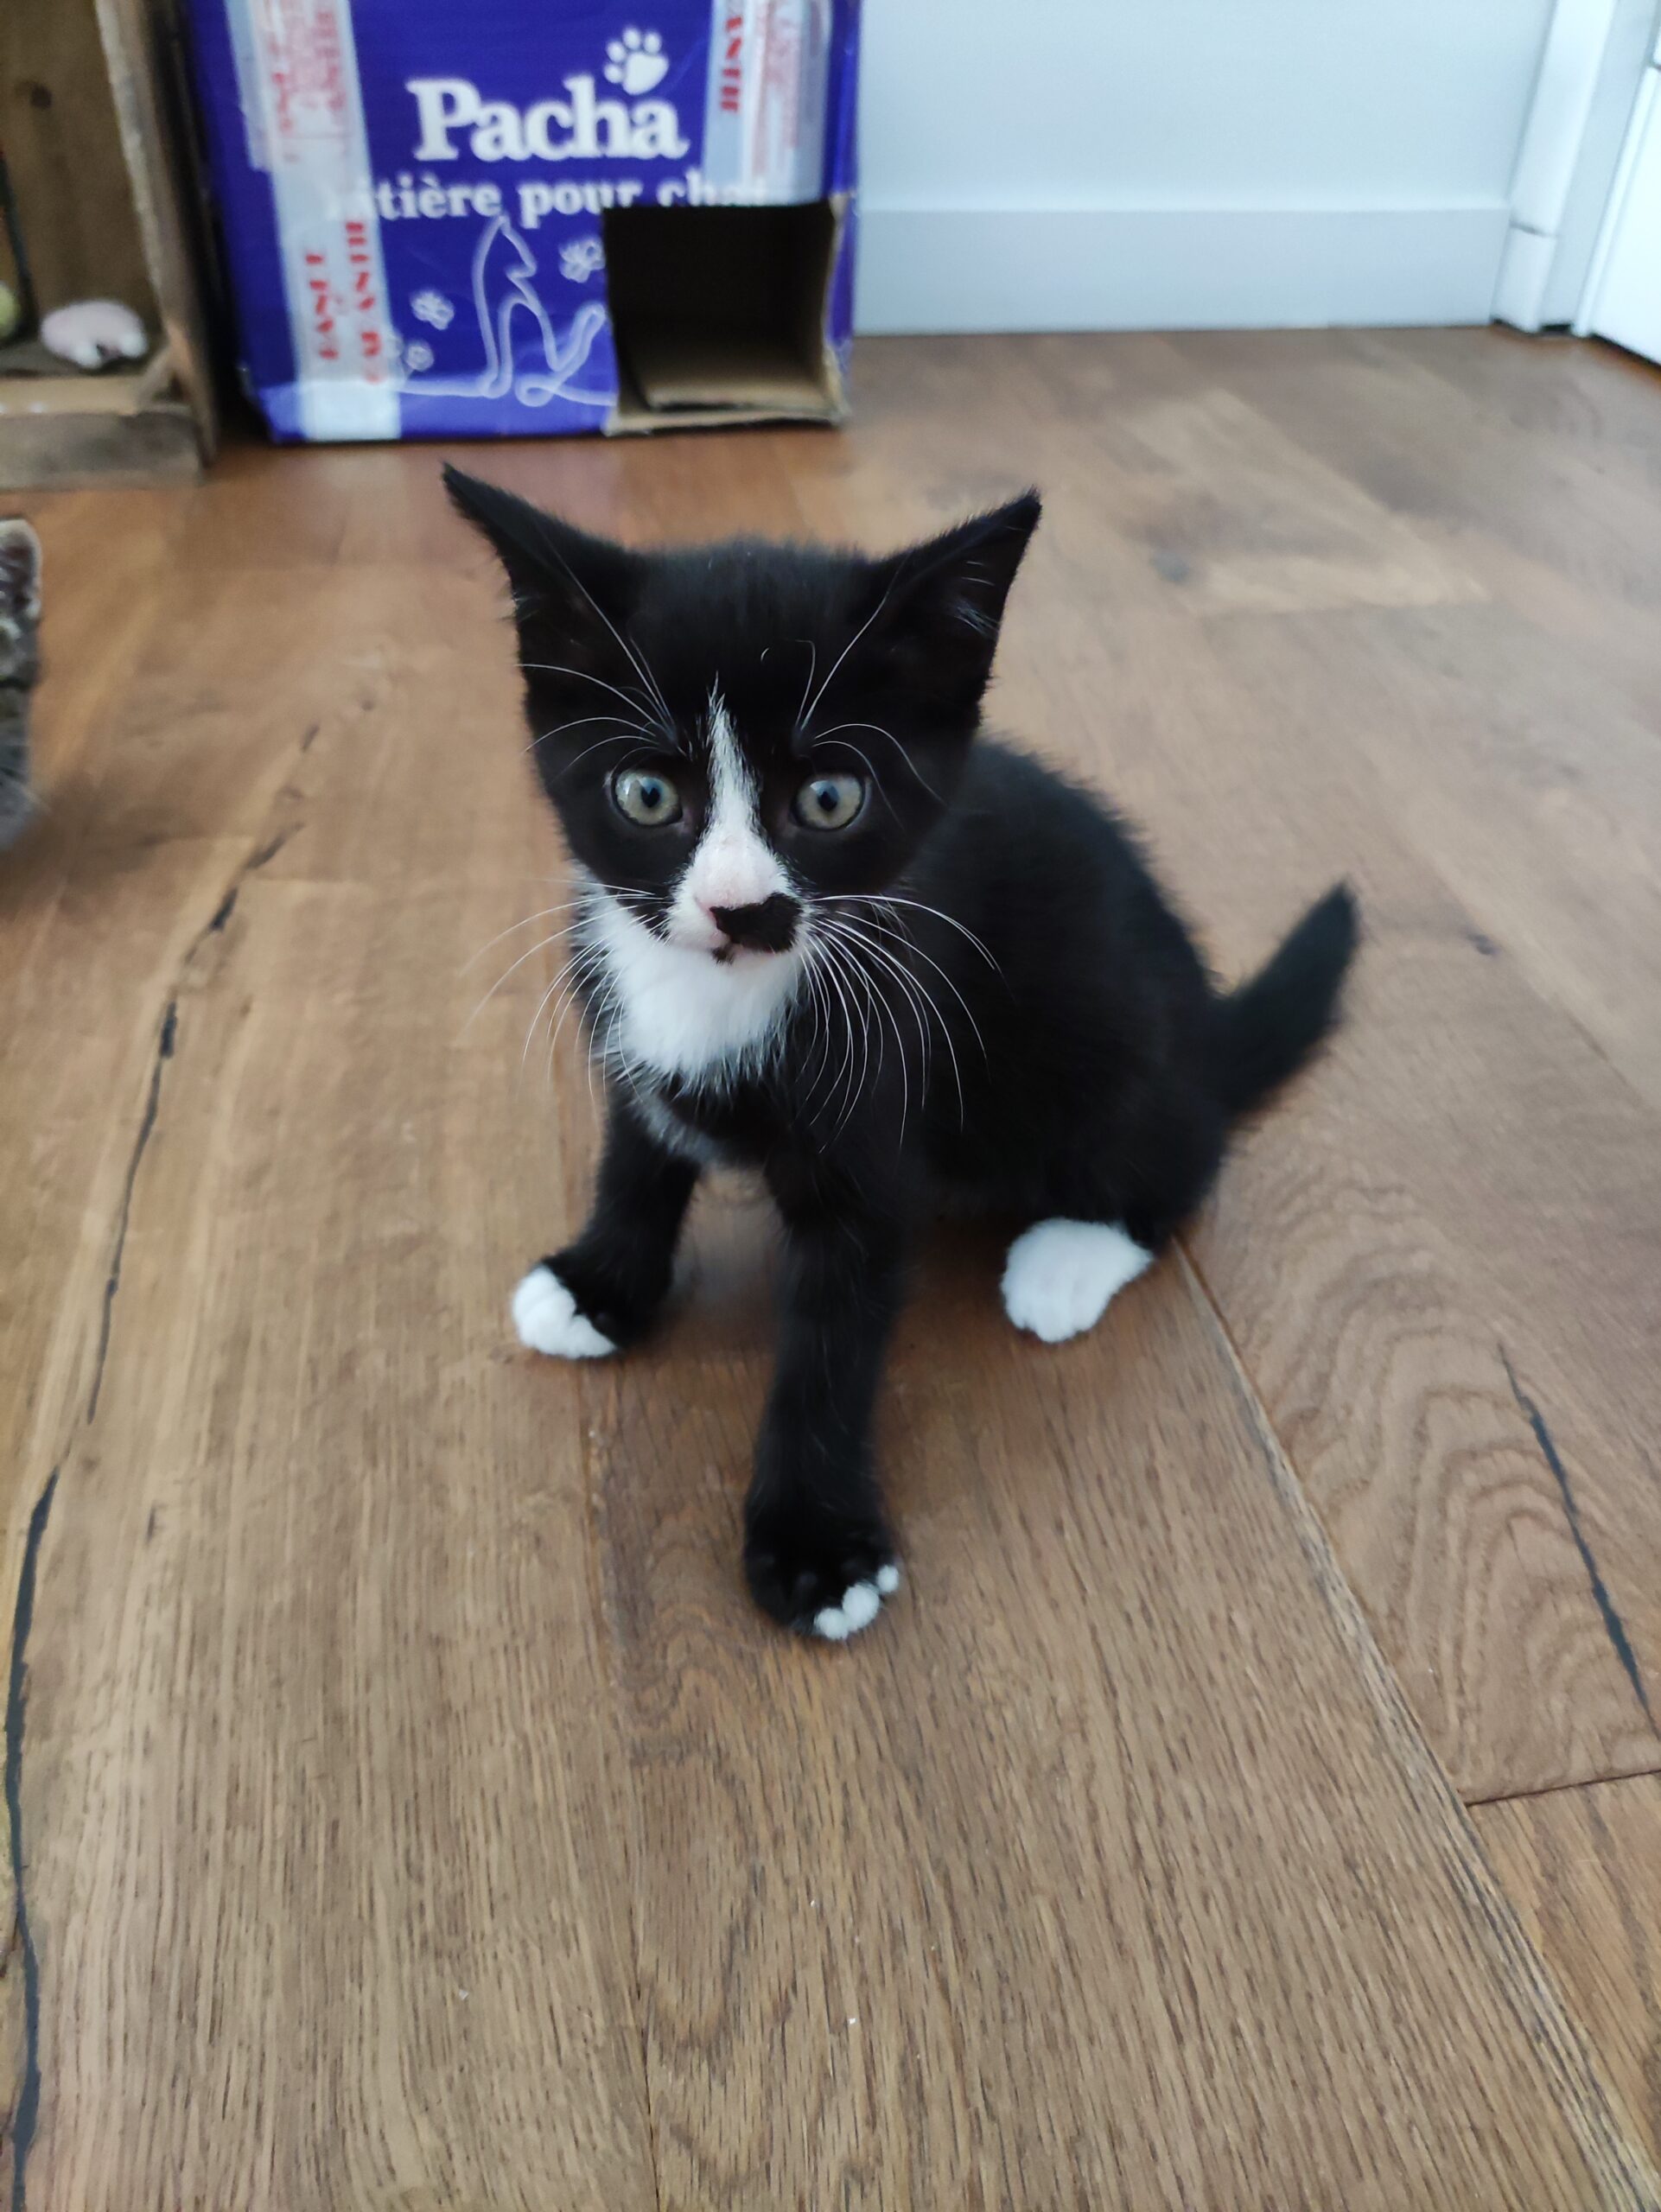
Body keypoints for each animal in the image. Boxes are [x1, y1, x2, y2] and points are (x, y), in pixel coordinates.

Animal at [447, 466, 1357, 1642]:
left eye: (829, 799)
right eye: (646, 795)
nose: (739, 909)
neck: (720, 994)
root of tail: (1200, 1034)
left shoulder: (880, 1115)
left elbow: (829, 1347)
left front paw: (815, 1544)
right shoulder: (626, 1035)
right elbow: (635, 1158)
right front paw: (598, 1280)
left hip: (1100, 1051)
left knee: (1178, 1160)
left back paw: (1066, 1258)